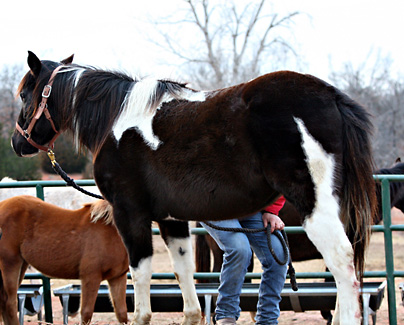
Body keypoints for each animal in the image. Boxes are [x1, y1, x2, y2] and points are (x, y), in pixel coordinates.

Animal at [0, 195, 128, 324]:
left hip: (22, 265)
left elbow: (122, 313)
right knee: (9, 302)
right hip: (10, 263)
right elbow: (86, 313)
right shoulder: (91, 277)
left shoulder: (118, 278)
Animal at [11, 52, 376, 322]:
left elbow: (140, 294)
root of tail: (330, 96)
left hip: (316, 208)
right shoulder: (173, 221)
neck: (116, 120)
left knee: (342, 265)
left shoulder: (131, 216)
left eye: (26, 94)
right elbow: (188, 290)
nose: (17, 143)